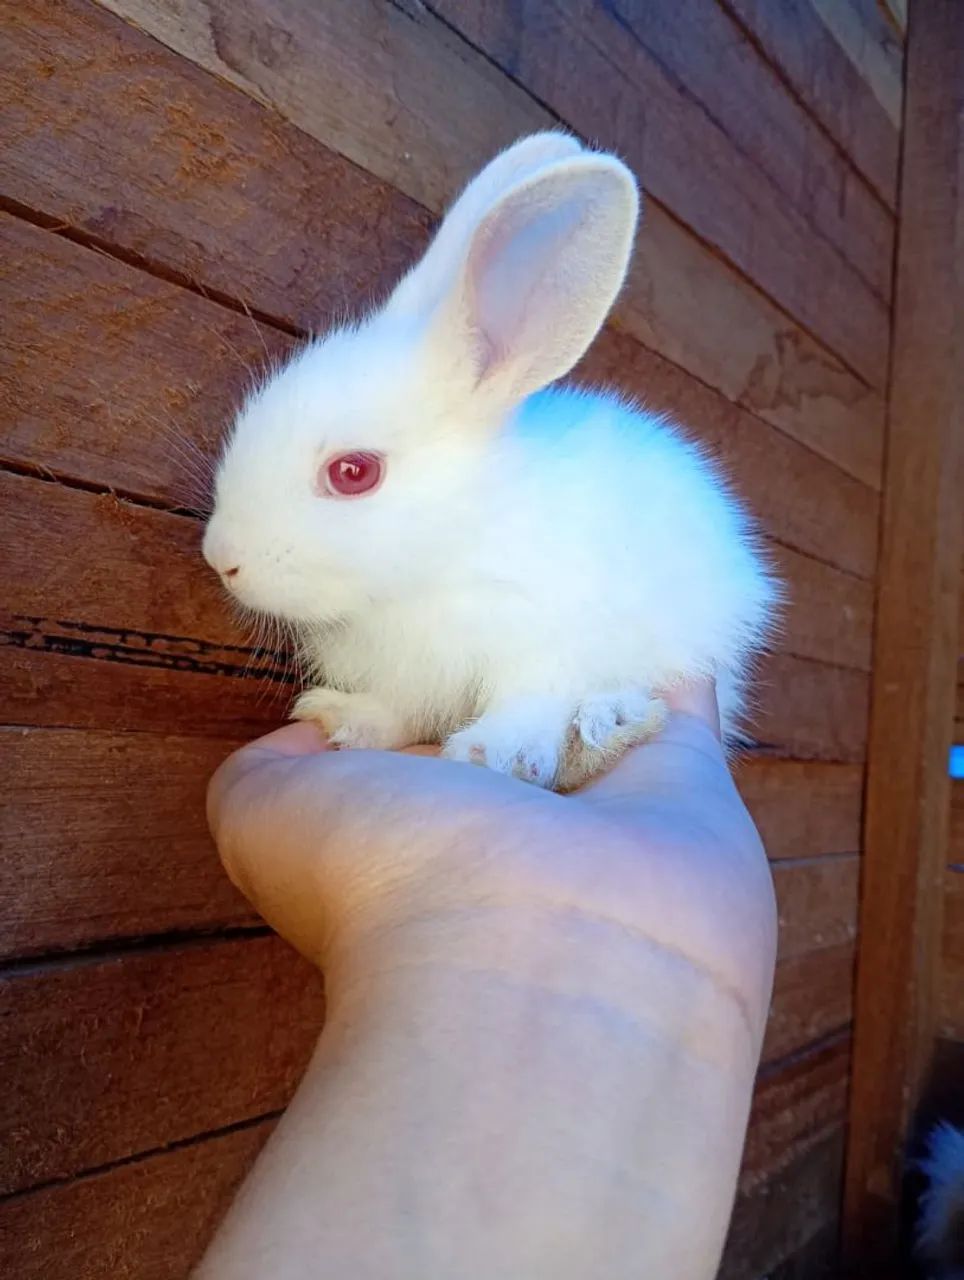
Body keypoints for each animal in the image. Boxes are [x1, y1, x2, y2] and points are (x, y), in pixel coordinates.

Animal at [202, 131, 780, 791]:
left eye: (353, 473)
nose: (221, 559)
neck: (456, 545)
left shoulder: (550, 643)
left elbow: (529, 703)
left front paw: (492, 752)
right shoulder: (413, 676)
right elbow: (400, 711)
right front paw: (343, 720)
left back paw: (607, 723)